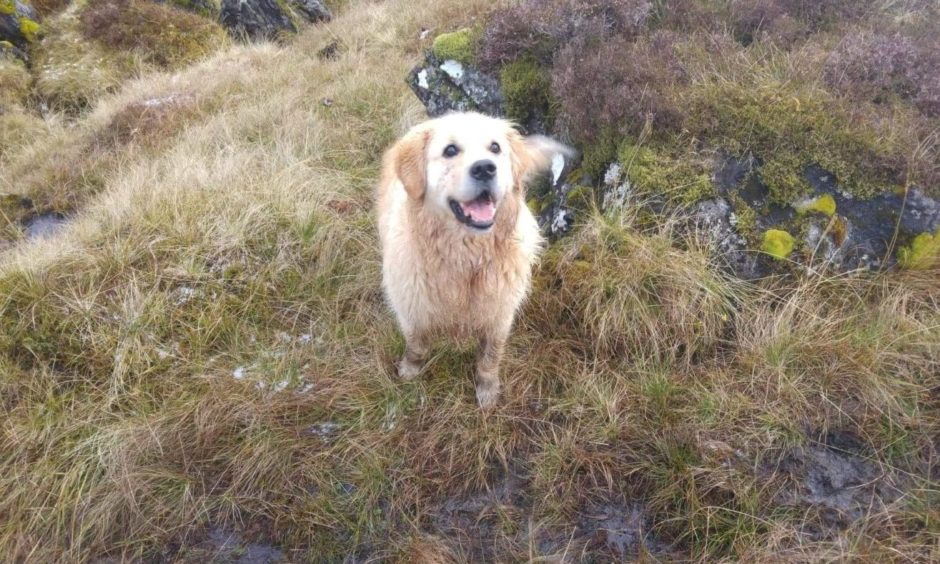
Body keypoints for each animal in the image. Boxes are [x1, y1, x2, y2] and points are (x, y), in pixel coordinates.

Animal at [376, 111, 572, 410]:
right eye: (450, 150)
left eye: (495, 148)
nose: (485, 169)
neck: (467, 259)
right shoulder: (411, 305)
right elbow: (417, 343)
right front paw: (410, 370)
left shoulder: (499, 313)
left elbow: (490, 356)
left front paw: (487, 389)